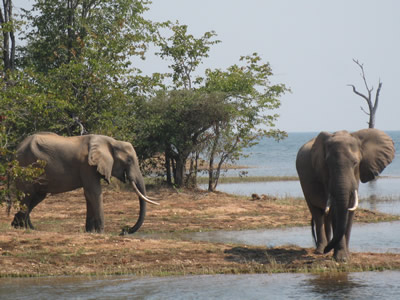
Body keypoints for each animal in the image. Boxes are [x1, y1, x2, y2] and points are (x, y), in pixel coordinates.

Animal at [11, 132, 158, 233]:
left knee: (35, 197)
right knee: (27, 196)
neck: (112, 142)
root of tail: (17, 148)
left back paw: (24, 227)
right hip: (25, 165)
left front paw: (90, 232)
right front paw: (101, 232)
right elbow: (94, 192)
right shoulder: (87, 166)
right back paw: (21, 227)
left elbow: (89, 195)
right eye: (129, 160)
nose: (124, 230)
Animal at [296, 128, 396, 260]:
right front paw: (341, 258)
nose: (327, 248)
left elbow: (350, 209)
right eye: (327, 164)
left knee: (326, 215)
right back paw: (321, 250)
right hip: (304, 184)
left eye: (355, 163)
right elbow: (336, 211)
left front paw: (346, 256)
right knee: (317, 213)